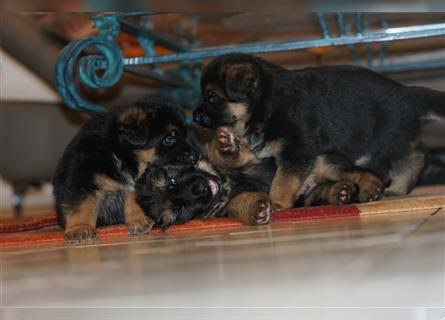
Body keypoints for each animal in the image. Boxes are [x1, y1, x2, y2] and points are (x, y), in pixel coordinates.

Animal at [53, 95, 196, 242]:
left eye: (186, 135)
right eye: (169, 139)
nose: (194, 157)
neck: (119, 154)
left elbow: (133, 198)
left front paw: (138, 220)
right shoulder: (83, 178)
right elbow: (81, 206)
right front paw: (80, 229)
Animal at [192, 54, 444, 210]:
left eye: (212, 96)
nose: (194, 117)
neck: (265, 102)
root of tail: (408, 94)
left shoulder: (297, 151)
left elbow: (282, 181)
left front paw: (277, 203)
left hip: (374, 146)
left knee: (411, 158)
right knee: (415, 155)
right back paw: (395, 188)